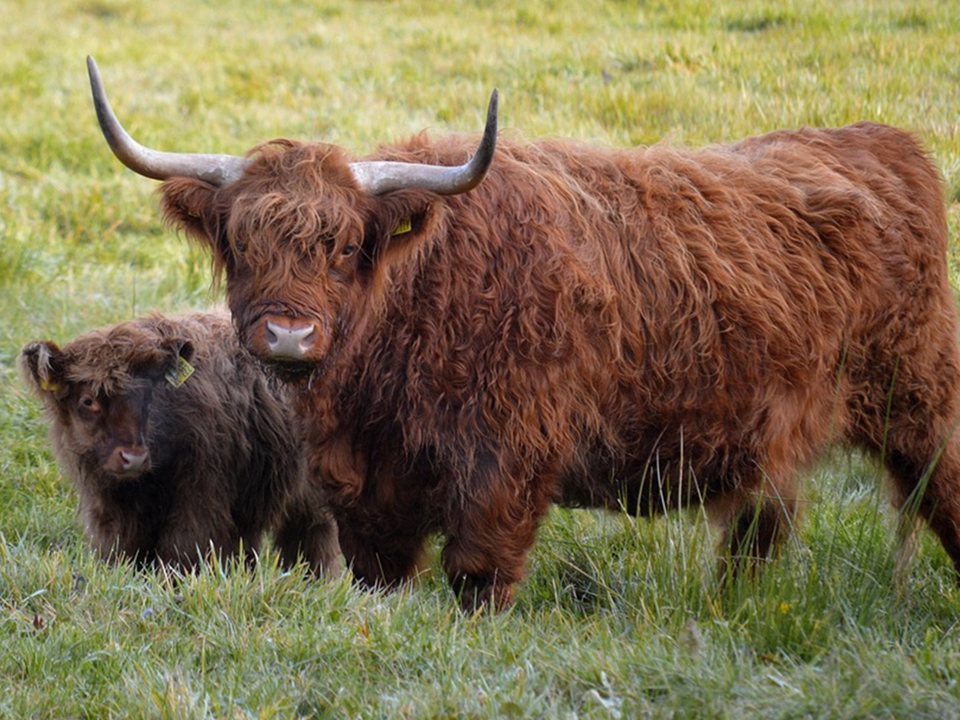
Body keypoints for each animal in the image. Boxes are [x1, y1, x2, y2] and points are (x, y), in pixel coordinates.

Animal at [20, 310, 342, 576]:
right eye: (88, 400)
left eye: (148, 395)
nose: (133, 458)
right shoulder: (108, 512)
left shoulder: (200, 500)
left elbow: (180, 553)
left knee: (313, 540)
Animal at [87, 56, 960, 611]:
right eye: (241, 243)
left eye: (341, 246)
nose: (288, 338)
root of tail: (879, 141)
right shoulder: (367, 487)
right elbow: (377, 576)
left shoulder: (507, 460)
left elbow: (479, 575)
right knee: (757, 531)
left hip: (920, 400)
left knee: (940, 487)